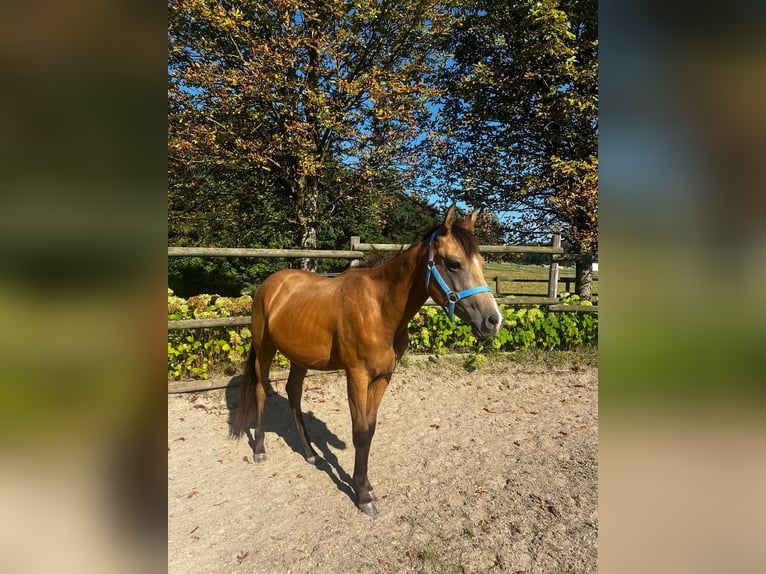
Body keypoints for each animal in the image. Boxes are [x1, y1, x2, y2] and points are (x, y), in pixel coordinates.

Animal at [231, 206, 500, 516]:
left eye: (481, 262)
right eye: (454, 263)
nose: (493, 320)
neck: (379, 309)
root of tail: (271, 285)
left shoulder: (383, 377)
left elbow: (370, 430)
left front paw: (367, 485)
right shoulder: (357, 376)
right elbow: (359, 432)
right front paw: (362, 495)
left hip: (300, 356)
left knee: (293, 394)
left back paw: (310, 453)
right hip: (265, 348)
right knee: (261, 390)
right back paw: (260, 450)